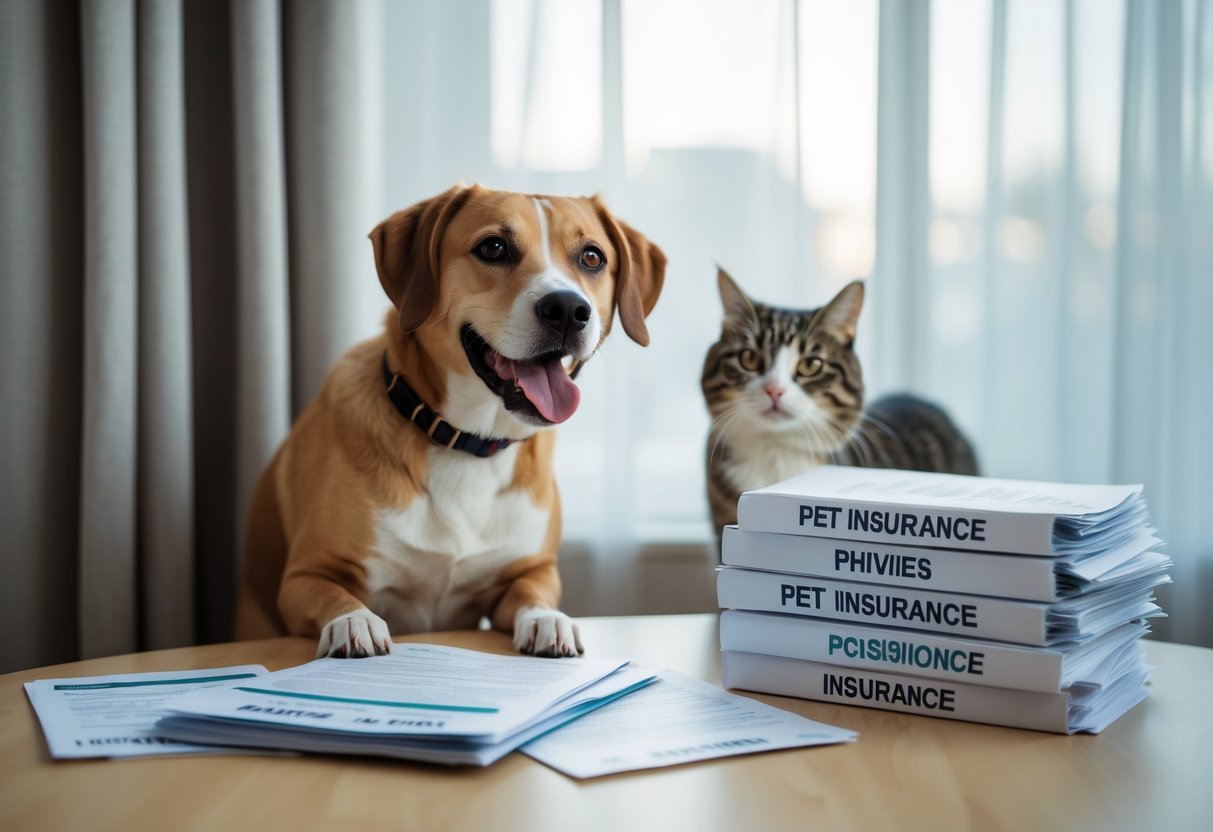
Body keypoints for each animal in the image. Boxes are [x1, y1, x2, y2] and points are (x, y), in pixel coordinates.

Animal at [231, 185, 669, 659]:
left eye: (592, 257)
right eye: (493, 247)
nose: (569, 309)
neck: (468, 442)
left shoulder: (533, 569)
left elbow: (532, 591)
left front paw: (547, 619)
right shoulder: (306, 575)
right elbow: (334, 594)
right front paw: (354, 620)